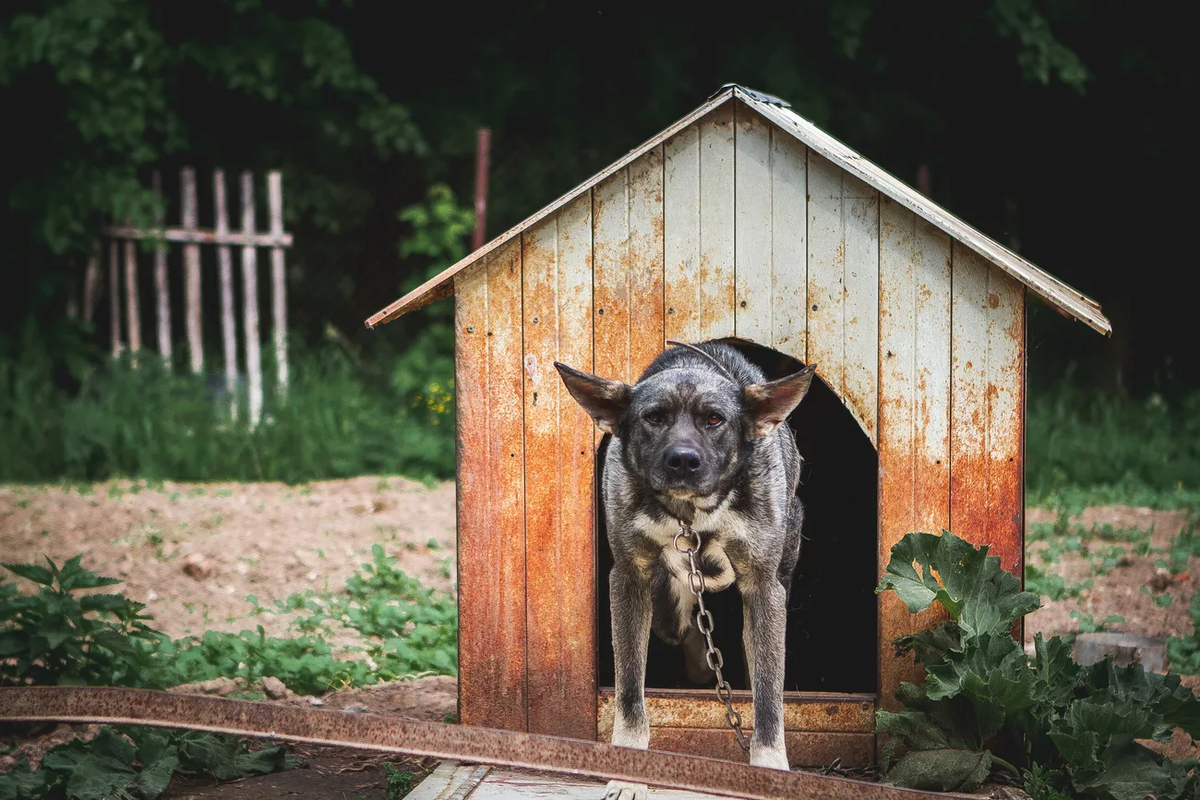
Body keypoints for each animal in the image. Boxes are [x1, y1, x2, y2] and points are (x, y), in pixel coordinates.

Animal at [552, 340, 816, 796]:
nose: (683, 461)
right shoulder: (629, 579)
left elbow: (769, 696)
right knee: (683, 625)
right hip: (666, 610)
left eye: (714, 419)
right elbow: (630, 693)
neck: (692, 515)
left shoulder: (763, 588)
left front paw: (769, 769)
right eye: (654, 418)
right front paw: (630, 773)